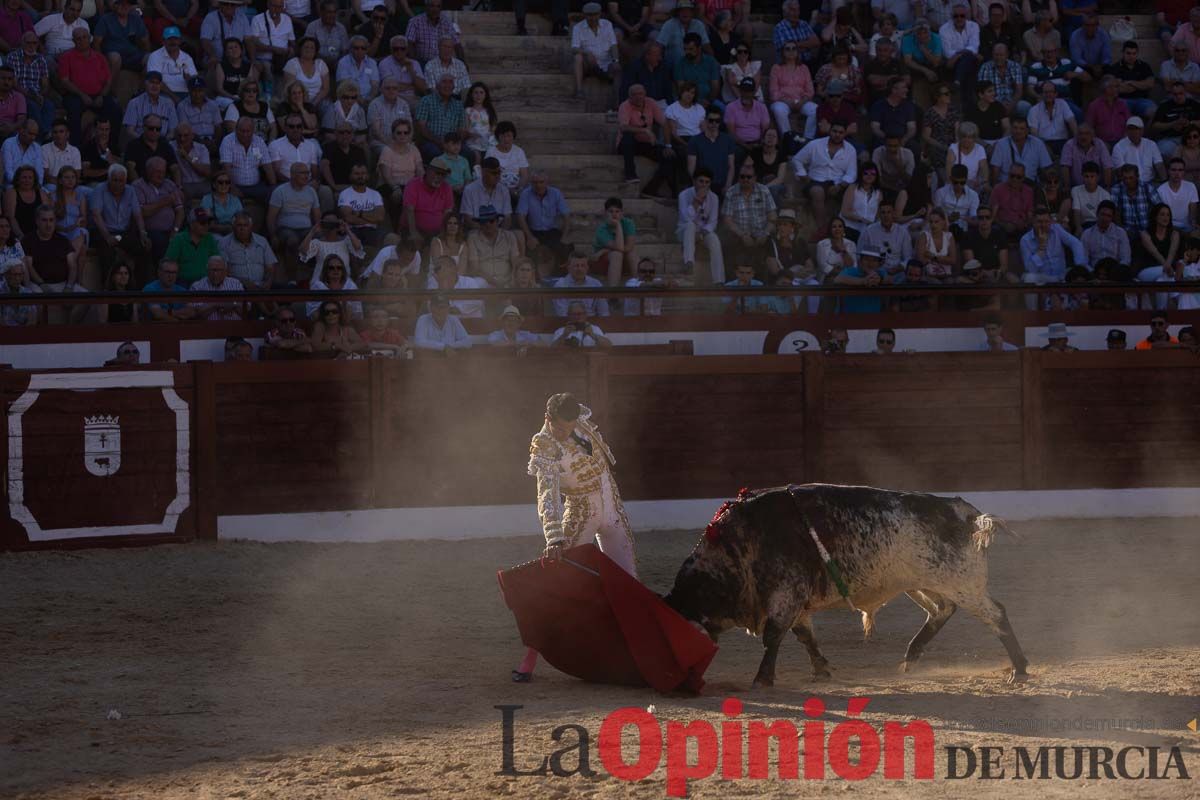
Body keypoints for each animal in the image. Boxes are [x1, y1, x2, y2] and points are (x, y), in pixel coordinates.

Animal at [662, 482, 1027, 690]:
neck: (737, 546)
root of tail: (966, 512)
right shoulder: (797, 603)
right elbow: (805, 636)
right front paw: (821, 670)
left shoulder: (786, 594)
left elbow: (774, 636)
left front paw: (762, 679)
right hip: (923, 582)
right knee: (942, 610)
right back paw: (909, 659)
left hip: (962, 583)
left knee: (996, 614)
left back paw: (1019, 670)